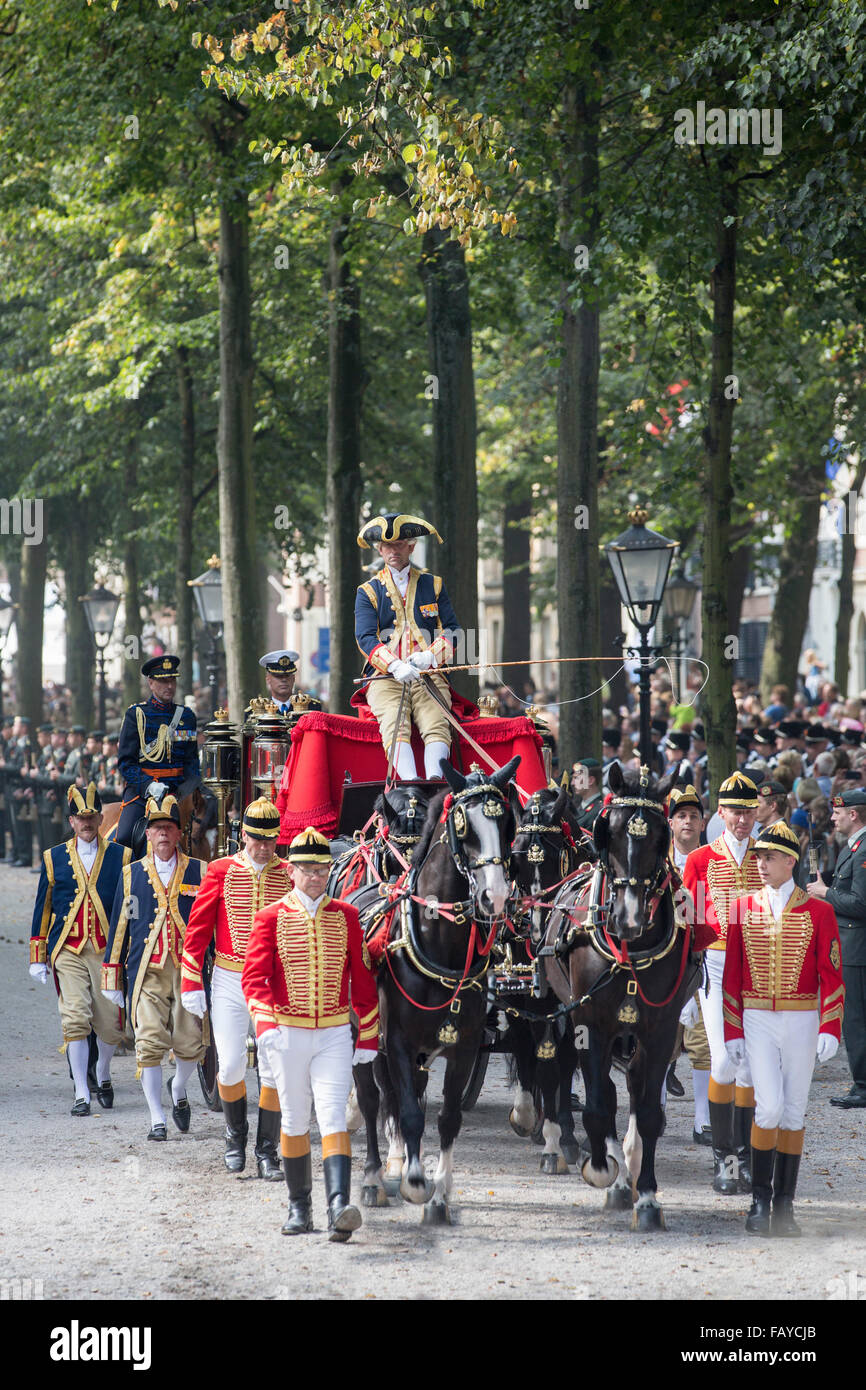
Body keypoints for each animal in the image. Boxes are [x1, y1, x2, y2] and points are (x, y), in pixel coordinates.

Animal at [354, 756, 522, 1223]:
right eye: (463, 825)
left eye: (507, 825)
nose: (494, 896)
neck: (439, 944)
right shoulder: (396, 1041)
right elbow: (409, 1113)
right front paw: (414, 1182)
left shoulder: (463, 1045)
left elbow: (446, 1116)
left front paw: (441, 1194)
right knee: (372, 1100)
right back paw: (375, 1177)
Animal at [547, 761, 706, 1228]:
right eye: (611, 831)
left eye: (658, 837)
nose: (629, 917)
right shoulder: (590, 1024)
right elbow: (599, 1105)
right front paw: (603, 1170)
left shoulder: (661, 1027)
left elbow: (649, 1112)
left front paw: (648, 1196)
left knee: (632, 1087)